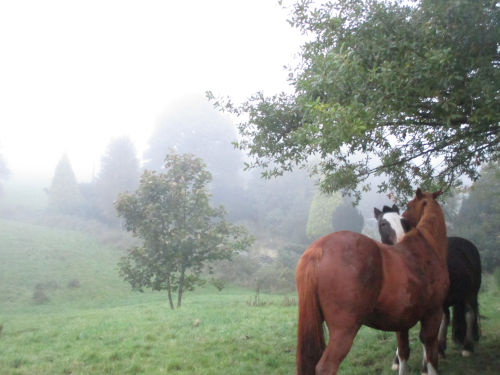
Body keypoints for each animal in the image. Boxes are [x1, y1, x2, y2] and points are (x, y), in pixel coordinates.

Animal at [296, 189, 450, 374]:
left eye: (402, 219)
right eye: (383, 224)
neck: (426, 246)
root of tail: (319, 248)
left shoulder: (402, 322)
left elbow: (404, 352)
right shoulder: (433, 313)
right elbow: (431, 356)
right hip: (344, 331)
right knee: (326, 367)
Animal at [376, 206, 480, 370]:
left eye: (403, 221)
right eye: (383, 224)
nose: (402, 241)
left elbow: (422, 336)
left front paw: (425, 366)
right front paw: (398, 361)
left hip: (471, 293)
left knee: (470, 314)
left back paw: (467, 347)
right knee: (446, 317)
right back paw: (441, 347)